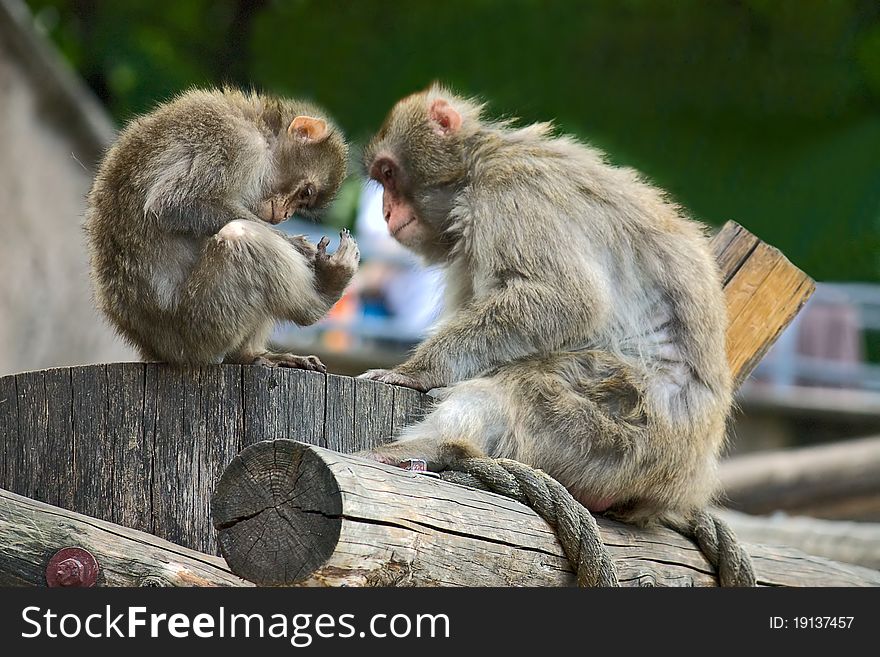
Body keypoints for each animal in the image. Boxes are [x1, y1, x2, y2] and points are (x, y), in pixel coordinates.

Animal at [82, 86, 358, 368]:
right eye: (305, 192)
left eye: (304, 200)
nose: (285, 215)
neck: (260, 130)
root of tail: (152, 349)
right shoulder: (234, 143)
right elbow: (175, 203)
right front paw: (298, 246)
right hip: (199, 328)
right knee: (242, 236)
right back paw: (322, 297)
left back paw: (249, 354)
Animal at [360, 84, 732, 524]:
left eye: (388, 174)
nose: (385, 211)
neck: (476, 166)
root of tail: (681, 483)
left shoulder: (511, 192)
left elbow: (566, 299)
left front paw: (415, 372)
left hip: (621, 429)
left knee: (525, 387)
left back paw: (429, 447)